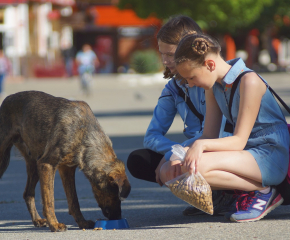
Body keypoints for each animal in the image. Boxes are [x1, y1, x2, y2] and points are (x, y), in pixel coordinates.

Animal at [0, 91, 131, 232]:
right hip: (5, 159)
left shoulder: (67, 168)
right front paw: (54, 224)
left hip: (34, 163)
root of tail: (7, 99)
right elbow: (49, 200)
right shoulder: (47, 164)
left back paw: (37, 220)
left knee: (28, 193)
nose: (117, 217)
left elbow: (74, 200)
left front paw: (82, 222)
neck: (84, 132)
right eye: (116, 194)